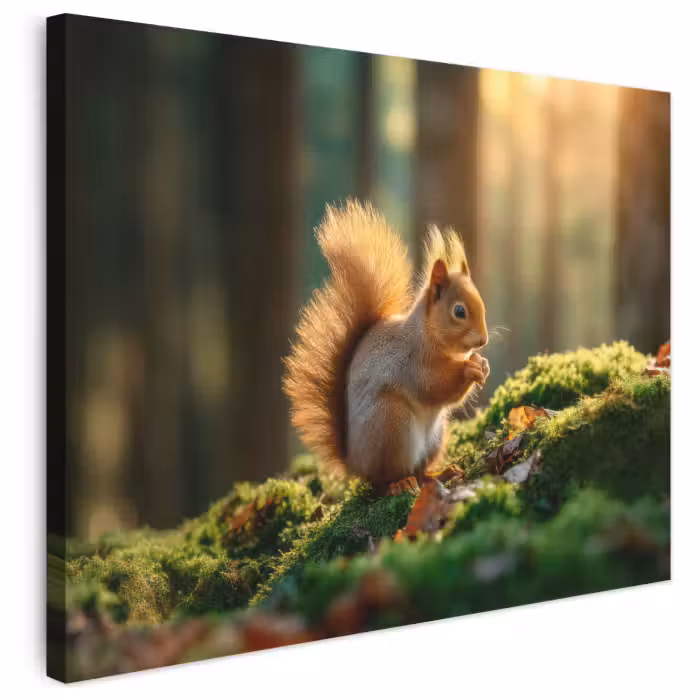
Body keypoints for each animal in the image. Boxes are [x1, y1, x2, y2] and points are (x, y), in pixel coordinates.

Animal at [283, 200, 489, 494]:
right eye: (459, 311)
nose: (483, 341)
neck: (427, 334)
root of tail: (355, 463)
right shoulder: (412, 362)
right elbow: (434, 386)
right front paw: (469, 370)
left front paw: (482, 365)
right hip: (391, 424)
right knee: (384, 480)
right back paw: (399, 484)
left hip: (435, 437)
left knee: (421, 472)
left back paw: (440, 473)